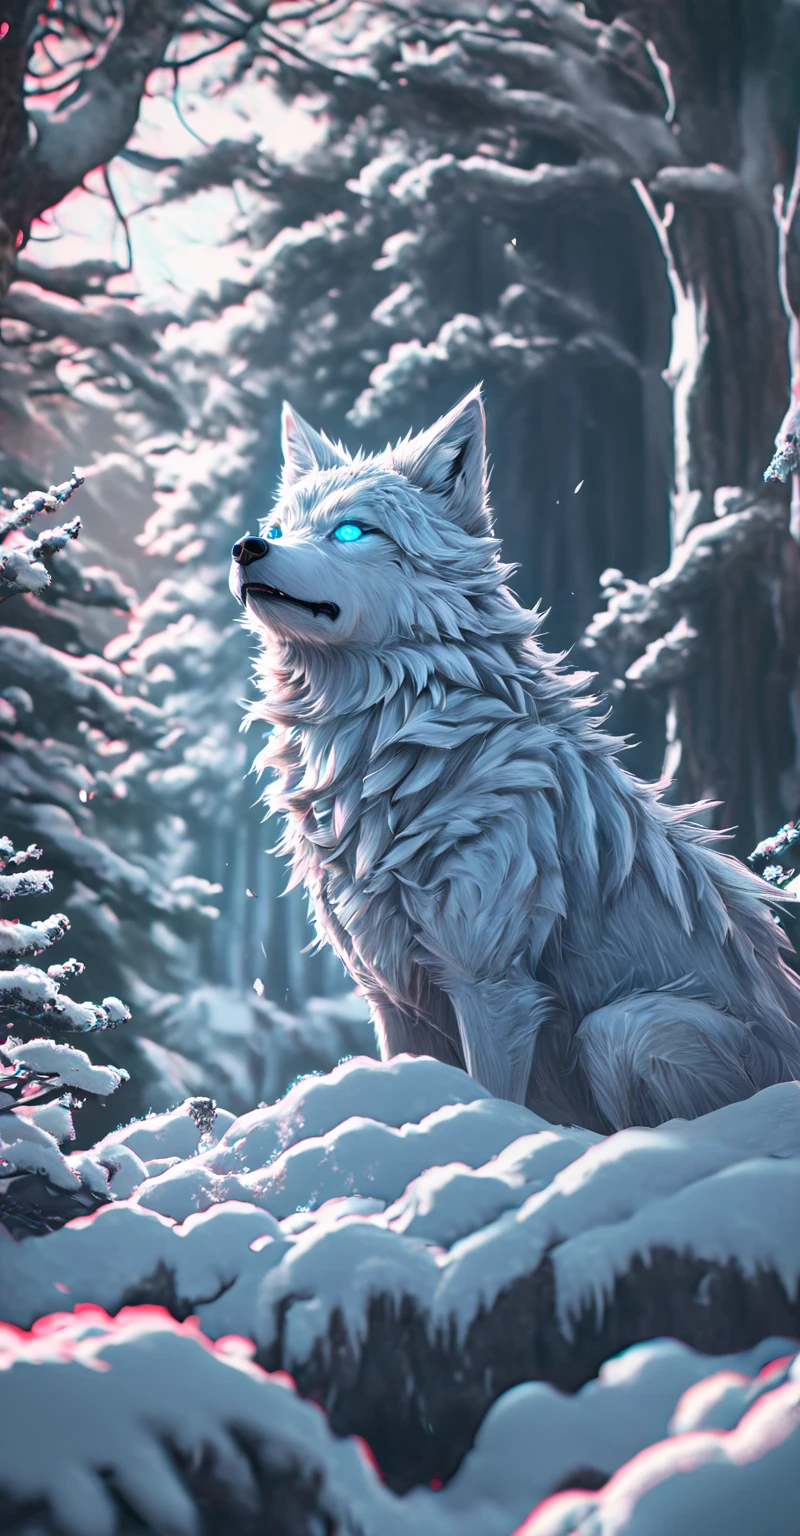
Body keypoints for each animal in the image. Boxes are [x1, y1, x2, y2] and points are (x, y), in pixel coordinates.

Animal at [230, 387, 800, 1132]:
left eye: (351, 532)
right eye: (279, 524)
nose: (247, 545)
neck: (403, 749)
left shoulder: (489, 981)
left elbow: (491, 1093)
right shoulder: (389, 990)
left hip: (626, 1027)